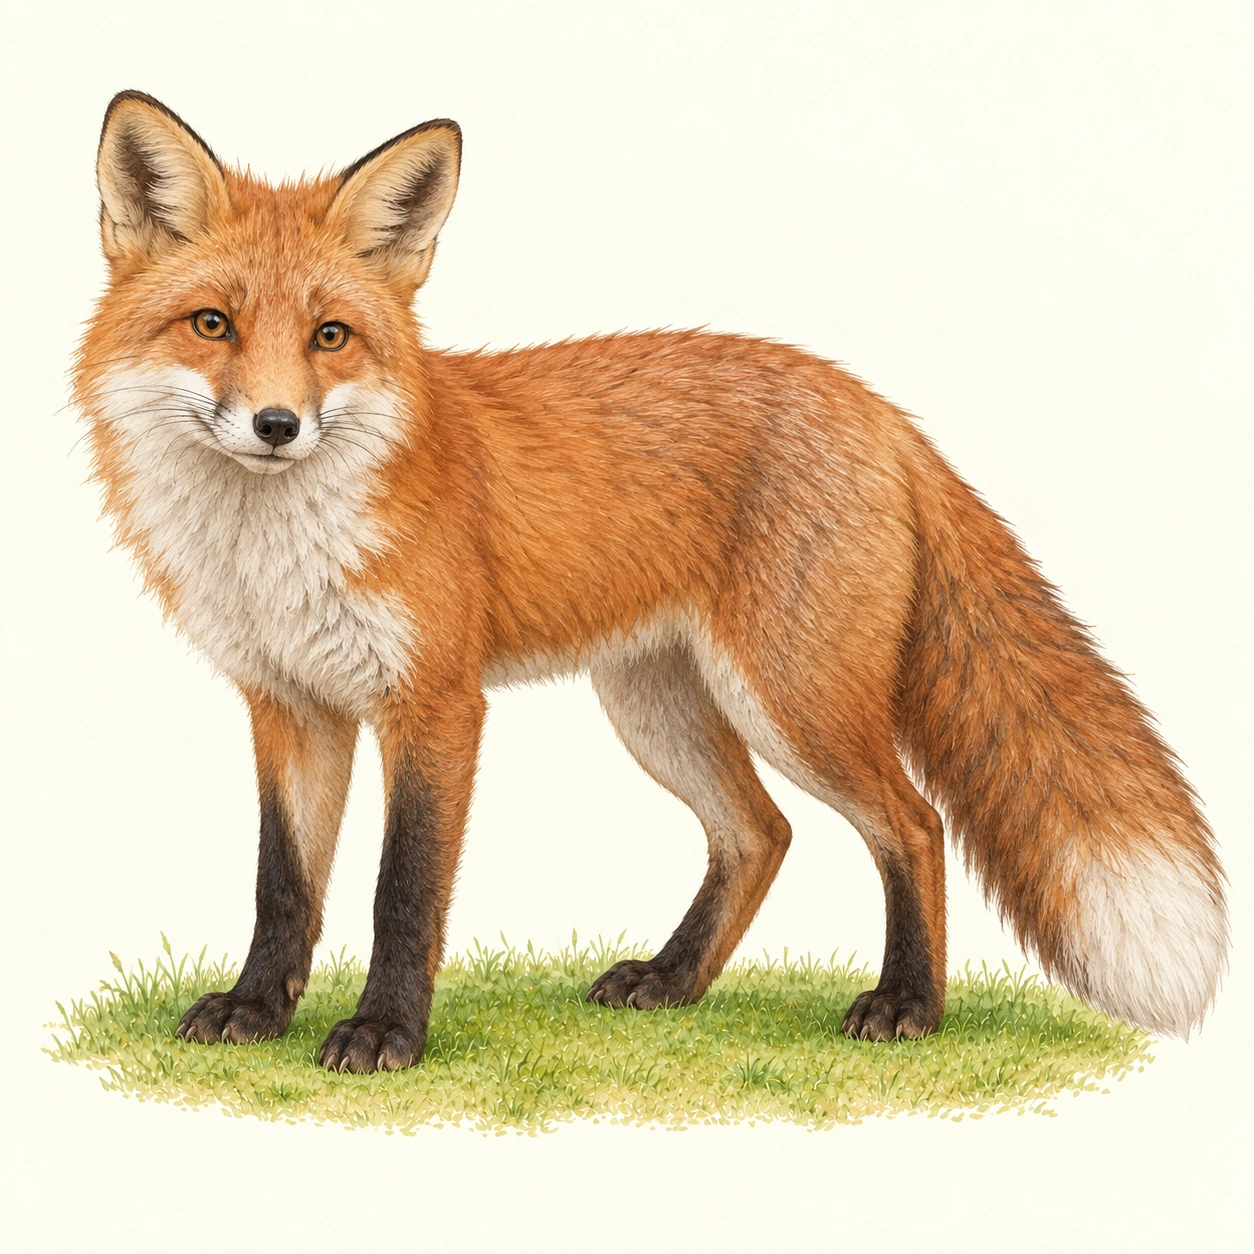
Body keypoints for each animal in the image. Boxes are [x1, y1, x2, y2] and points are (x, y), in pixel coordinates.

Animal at [74, 90, 1227, 1074]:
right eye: (213, 324)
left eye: (330, 337)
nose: (277, 425)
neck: (276, 548)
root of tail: (877, 407)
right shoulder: (291, 704)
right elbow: (284, 886)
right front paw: (255, 1010)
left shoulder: (435, 704)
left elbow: (403, 891)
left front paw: (387, 1034)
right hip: (657, 705)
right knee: (761, 834)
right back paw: (674, 983)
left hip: (794, 700)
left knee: (913, 823)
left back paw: (909, 1005)